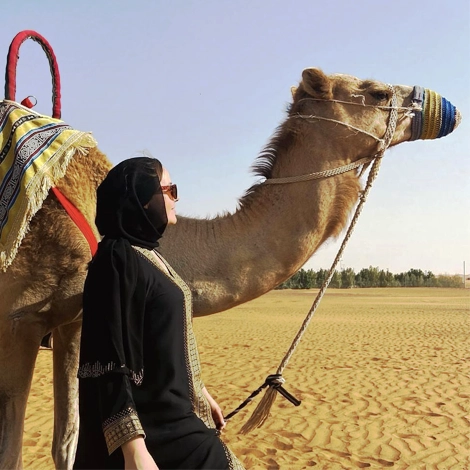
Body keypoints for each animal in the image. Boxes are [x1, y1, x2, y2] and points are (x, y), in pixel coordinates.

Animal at [0, 68, 458, 468]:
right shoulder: (19, 321)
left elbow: (68, 441)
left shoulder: (75, 319)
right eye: (378, 93)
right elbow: (13, 454)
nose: (447, 106)